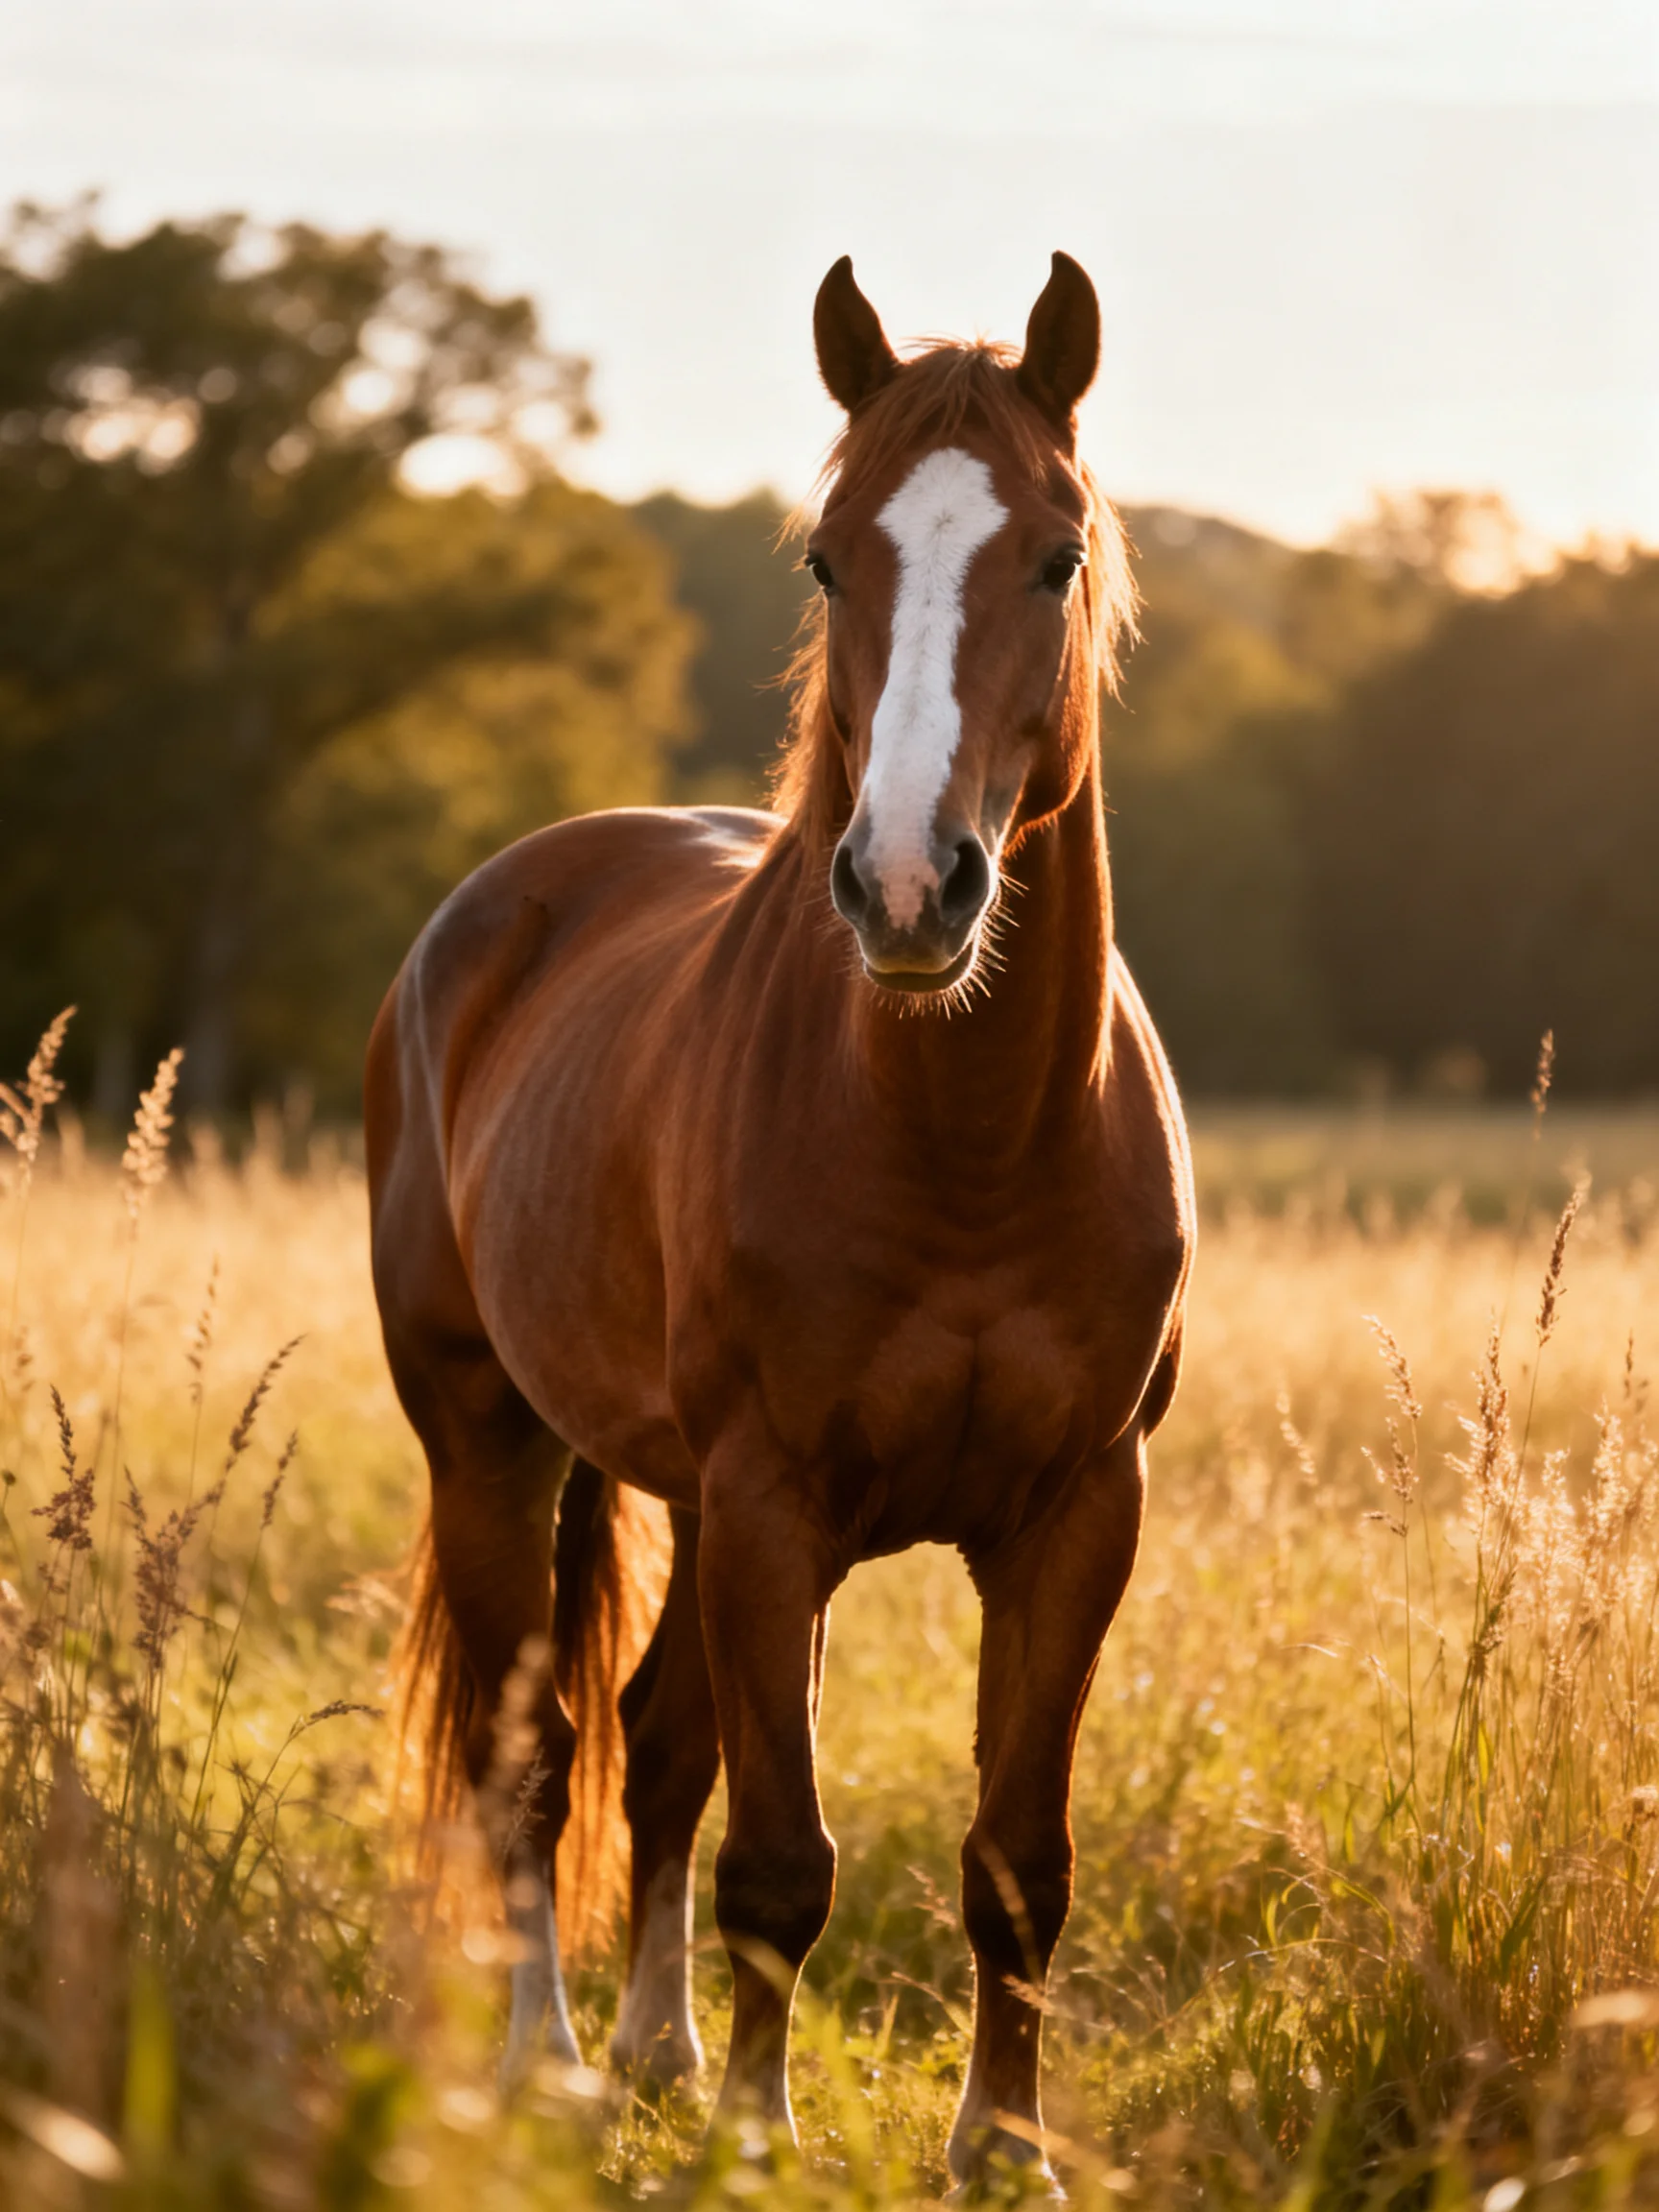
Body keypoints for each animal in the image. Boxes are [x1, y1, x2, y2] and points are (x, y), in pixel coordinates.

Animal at [366, 249, 1194, 2192]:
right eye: (828, 556)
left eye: (1056, 554)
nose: (904, 886)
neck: (967, 1142)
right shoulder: (770, 1499)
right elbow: (779, 1858)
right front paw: (756, 2135)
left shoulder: (1076, 1513)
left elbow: (1012, 1858)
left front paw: (1001, 2147)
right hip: (492, 1439)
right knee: (540, 1755)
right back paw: (556, 2064)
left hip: (674, 1491)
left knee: (658, 1743)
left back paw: (655, 2046)